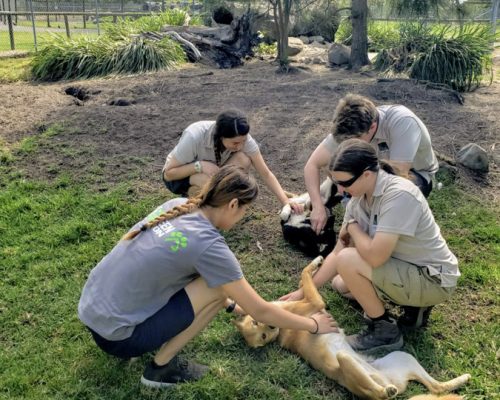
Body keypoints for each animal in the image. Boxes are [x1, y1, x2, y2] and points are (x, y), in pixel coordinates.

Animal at [232, 256, 470, 400]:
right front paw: (315, 262)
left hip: (403, 357)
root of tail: (389, 382)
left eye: (259, 328)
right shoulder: (314, 302)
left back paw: (464, 379)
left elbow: (303, 280)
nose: (272, 324)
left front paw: (317, 263)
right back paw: (386, 391)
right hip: (348, 361)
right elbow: (305, 275)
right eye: (263, 335)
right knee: (382, 392)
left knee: (436, 387)